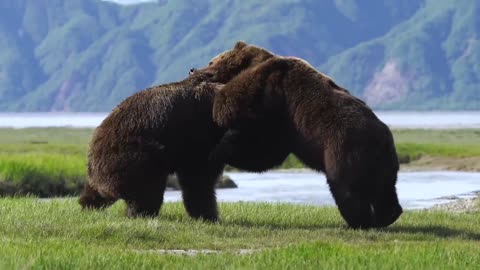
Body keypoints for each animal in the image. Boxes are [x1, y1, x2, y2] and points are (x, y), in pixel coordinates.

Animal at [79, 70, 288, 221]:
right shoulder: (197, 137)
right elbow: (198, 179)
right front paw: (208, 214)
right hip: (134, 152)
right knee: (149, 184)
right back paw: (143, 213)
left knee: (96, 192)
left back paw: (88, 203)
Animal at [197, 41, 404, 229]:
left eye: (211, 61)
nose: (193, 69)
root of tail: (383, 138)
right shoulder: (283, 125)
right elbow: (265, 151)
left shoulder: (271, 93)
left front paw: (217, 147)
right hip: (382, 162)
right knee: (384, 188)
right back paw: (388, 216)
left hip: (343, 150)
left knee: (345, 188)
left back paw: (359, 222)